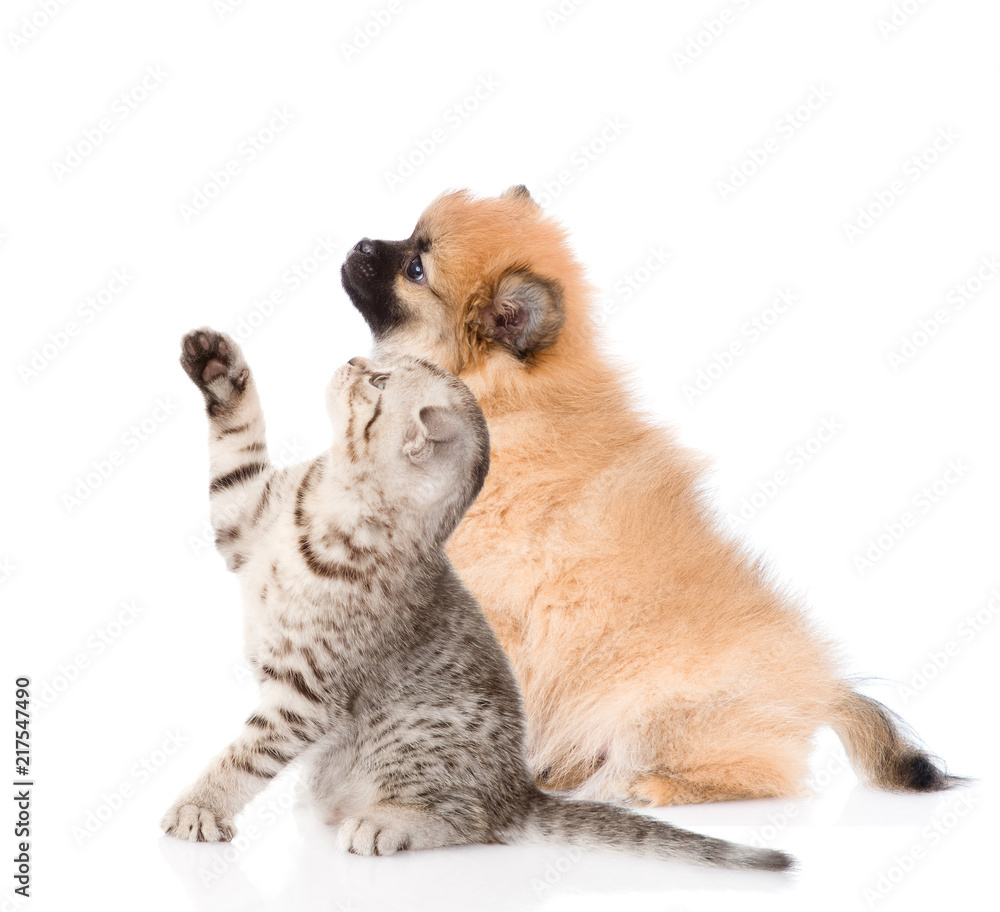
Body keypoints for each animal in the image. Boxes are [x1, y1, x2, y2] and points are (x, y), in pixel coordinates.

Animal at [160, 326, 792, 868]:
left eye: (379, 383)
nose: (352, 360)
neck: (327, 501)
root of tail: (521, 791)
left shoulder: (307, 692)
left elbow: (245, 754)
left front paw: (199, 806)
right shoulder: (243, 516)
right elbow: (236, 447)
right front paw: (217, 365)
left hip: (418, 740)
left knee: (468, 821)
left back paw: (387, 823)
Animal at [340, 187, 964, 804]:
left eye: (416, 268)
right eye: (406, 236)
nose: (360, 242)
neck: (499, 400)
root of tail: (821, 689)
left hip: (659, 712)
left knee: (755, 776)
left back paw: (648, 787)